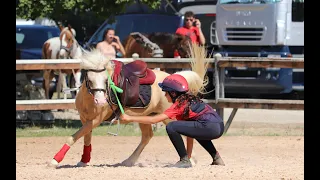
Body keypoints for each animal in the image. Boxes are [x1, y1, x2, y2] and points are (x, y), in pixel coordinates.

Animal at [48, 44, 212, 168]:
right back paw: (129, 160)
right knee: (147, 136)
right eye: (89, 79)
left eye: (106, 80)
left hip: (167, 116)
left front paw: (54, 160)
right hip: (146, 116)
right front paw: (83, 161)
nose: (101, 101)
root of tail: (174, 79)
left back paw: (190, 160)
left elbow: (72, 137)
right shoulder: (85, 119)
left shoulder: (95, 120)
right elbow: (85, 139)